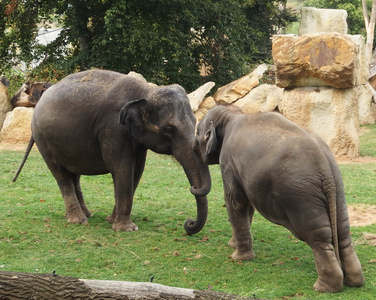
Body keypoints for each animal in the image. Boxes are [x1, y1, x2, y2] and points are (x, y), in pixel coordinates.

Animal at [14, 69, 212, 233]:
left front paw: (111, 220)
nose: (189, 223)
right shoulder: (112, 128)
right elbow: (122, 168)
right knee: (61, 175)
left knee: (73, 175)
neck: (146, 92)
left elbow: (136, 172)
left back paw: (86, 214)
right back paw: (78, 220)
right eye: (169, 129)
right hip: (42, 139)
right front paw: (126, 229)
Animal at [194, 106, 364, 292]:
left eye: (197, 132)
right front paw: (233, 245)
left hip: (300, 196)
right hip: (338, 188)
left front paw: (238, 258)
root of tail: (325, 166)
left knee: (318, 236)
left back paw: (323, 288)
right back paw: (354, 282)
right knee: (342, 232)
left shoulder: (228, 161)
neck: (232, 113)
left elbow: (236, 201)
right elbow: (247, 204)